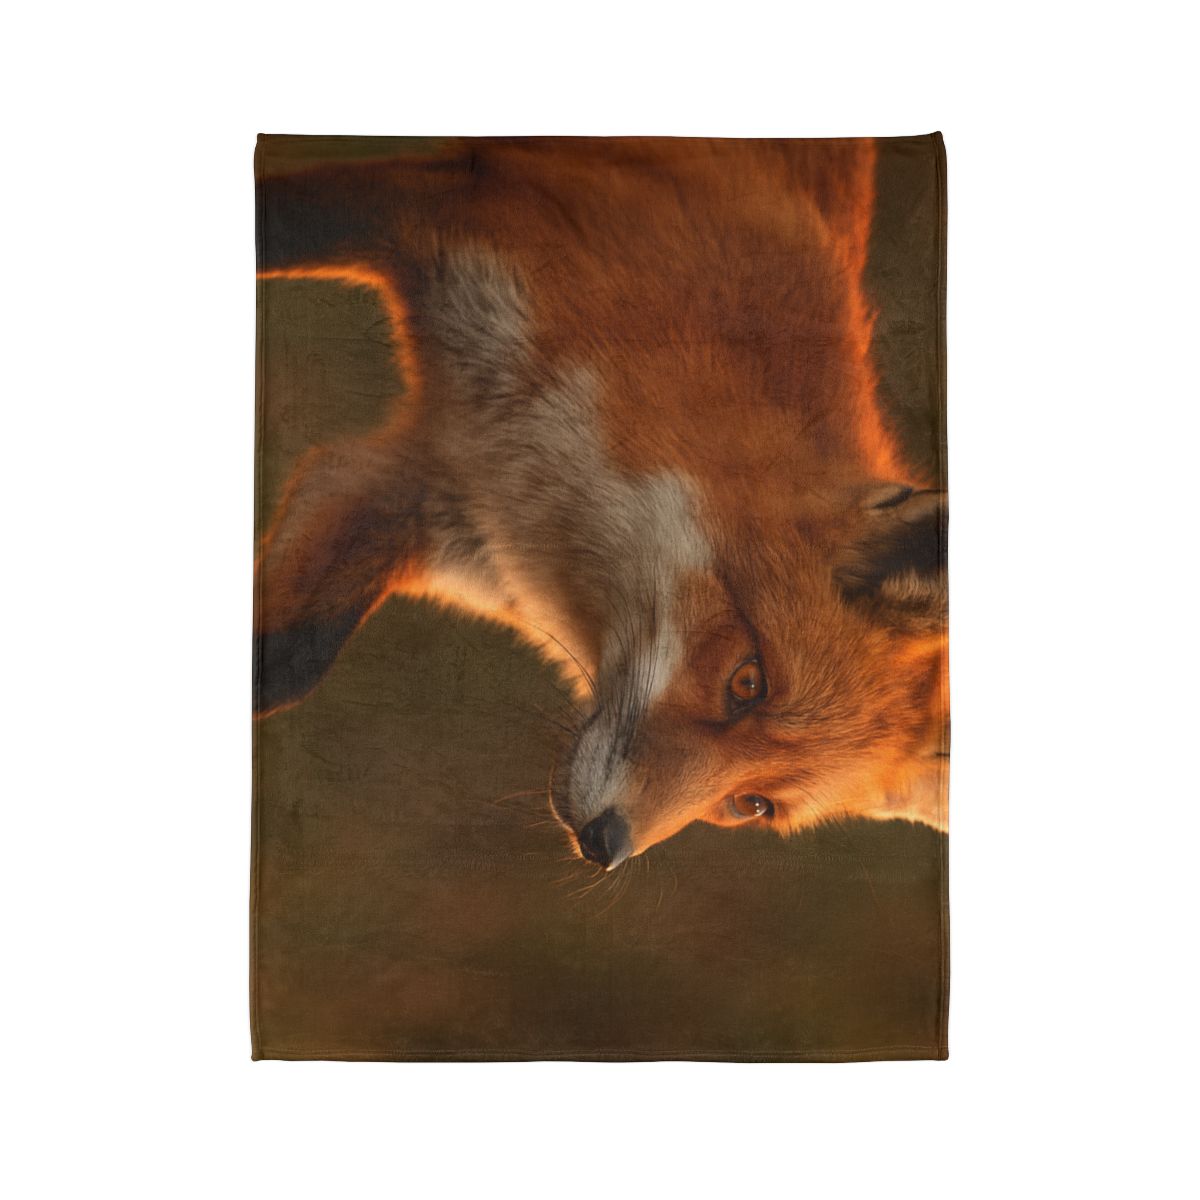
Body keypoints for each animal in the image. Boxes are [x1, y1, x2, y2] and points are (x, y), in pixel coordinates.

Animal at [254, 135, 948, 871]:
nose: (605, 844)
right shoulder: (459, 203)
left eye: (752, 805)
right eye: (748, 682)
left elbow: (289, 660)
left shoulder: (420, 492)